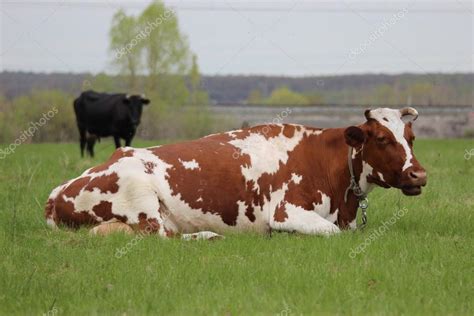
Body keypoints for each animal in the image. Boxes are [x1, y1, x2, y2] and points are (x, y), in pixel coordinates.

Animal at [46, 107, 428, 238]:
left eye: (411, 137)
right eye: (382, 138)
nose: (419, 175)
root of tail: (53, 196)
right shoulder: (286, 210)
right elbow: (333, 233)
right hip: (143, 201)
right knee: (162, 238)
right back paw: (208, 236)